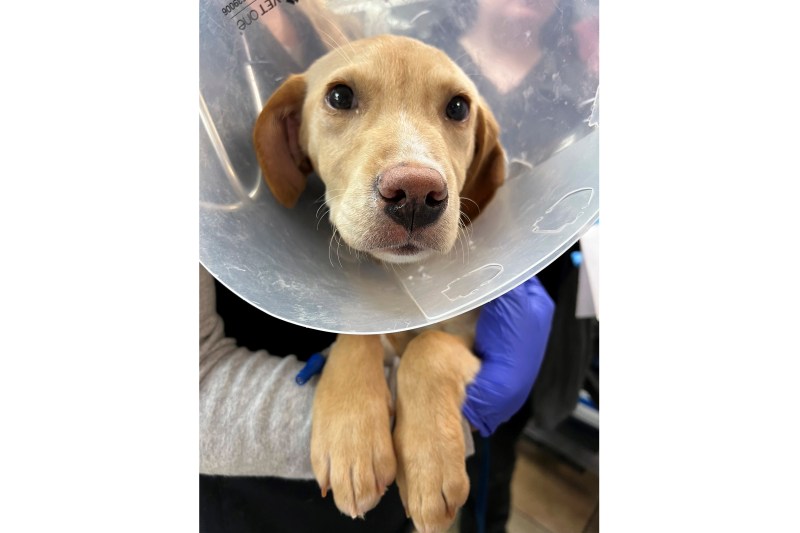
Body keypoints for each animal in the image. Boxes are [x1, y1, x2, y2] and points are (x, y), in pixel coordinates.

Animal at [255, 34, 506, 532]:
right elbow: (355, 332)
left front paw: (430, 461)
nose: (416, 194)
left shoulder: (473, 344)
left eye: (458, 107)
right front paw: (351, 434)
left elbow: (430, 348)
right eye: (339, 97)